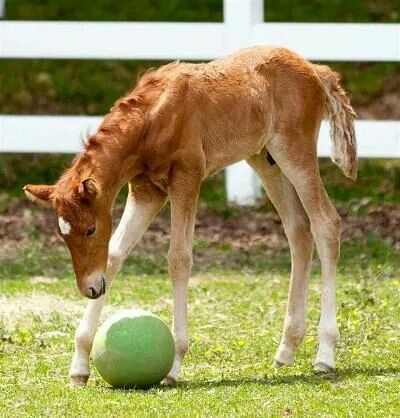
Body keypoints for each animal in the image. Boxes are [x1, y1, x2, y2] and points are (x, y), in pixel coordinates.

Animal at [24, 46, 356, 386]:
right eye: (63, 234)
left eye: (90, 229)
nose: (89, 288)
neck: (152, 119)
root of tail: (315, 69)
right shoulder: (146, 191)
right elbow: (114, 255)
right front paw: (79, 365)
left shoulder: (187, 178)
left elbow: (179, 259)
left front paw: (174, 364)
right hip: (265, 160)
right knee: (298, 229)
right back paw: (287, 348)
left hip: (294, 150)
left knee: (326, 223)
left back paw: (325, 354)